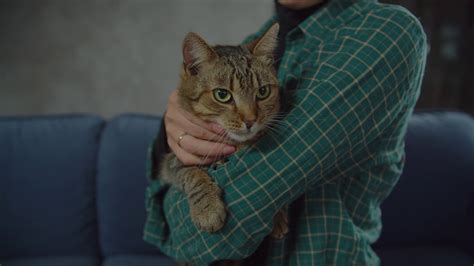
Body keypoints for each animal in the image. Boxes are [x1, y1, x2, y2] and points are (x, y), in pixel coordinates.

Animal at [159, 22, 286, 262]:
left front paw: (279, 216)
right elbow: (193, 173)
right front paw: (207, 209)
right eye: (222, 95)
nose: (250, 120)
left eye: (263, 92)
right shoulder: (172, 162)